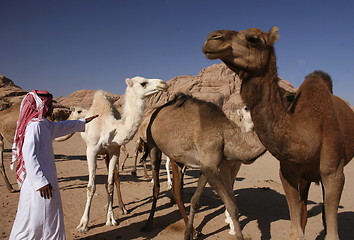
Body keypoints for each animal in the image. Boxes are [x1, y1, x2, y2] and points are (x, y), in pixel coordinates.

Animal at [75, 76, 167, 232]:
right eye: (143, 83)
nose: (163, 83)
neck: (108, 128)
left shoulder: (114, 152)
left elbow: (110, 183)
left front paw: (111, 219)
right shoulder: (91, 151)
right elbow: (90, 187)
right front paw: (83, 224)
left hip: (107, 155)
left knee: (113, 180)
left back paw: (119, 207)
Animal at [141, 94, 266, 240]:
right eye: (246, 108)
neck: (224, 134)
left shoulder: (207, 167)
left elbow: (195, 199)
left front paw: (189, 231)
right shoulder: (210, 165)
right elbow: (232, 206)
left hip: (177, 158)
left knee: (177, 190)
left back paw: (192, 230)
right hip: (153, 145)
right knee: (158, 187)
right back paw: (148, 224)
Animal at [202, 26, 354, 240]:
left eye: (253, 38)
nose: (212, 38)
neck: (309, 129)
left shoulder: (334, 172)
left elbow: (331, 232)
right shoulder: (287, 172)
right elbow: (296, 229)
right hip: (305, 177)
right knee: (304, 210)